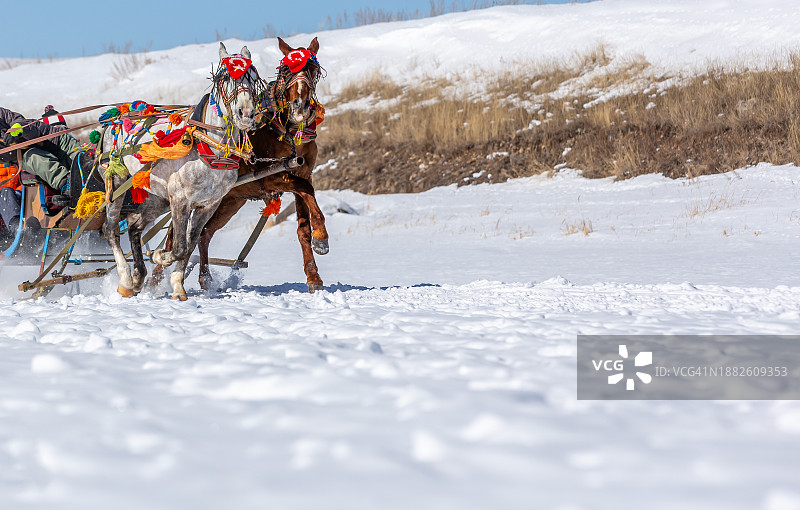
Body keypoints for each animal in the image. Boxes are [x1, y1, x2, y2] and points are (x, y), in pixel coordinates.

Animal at [100, 42, 262, 300]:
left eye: (253, 78)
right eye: (225, 77)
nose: (245, 114)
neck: (209, 147)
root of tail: (114, 121)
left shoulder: (208, 205)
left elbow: (190, 242)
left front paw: (177, 284)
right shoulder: (180, 199)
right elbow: (179, 246)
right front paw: (160, 256)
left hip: (156, 198)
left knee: (135, 228)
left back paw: (138, 276)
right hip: (116, 184)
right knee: (111, 229)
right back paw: (125, 279)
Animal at [196, 37, 330, 293]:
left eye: (313, 70)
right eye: (286, 71)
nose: (299, 105)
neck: (286, 130)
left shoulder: (303, 173)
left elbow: (303, 226)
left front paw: (313, 275)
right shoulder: (270, 177)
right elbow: (308, 191)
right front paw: (322, 238)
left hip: (229, 202)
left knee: (203, 233)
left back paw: (203, 278)